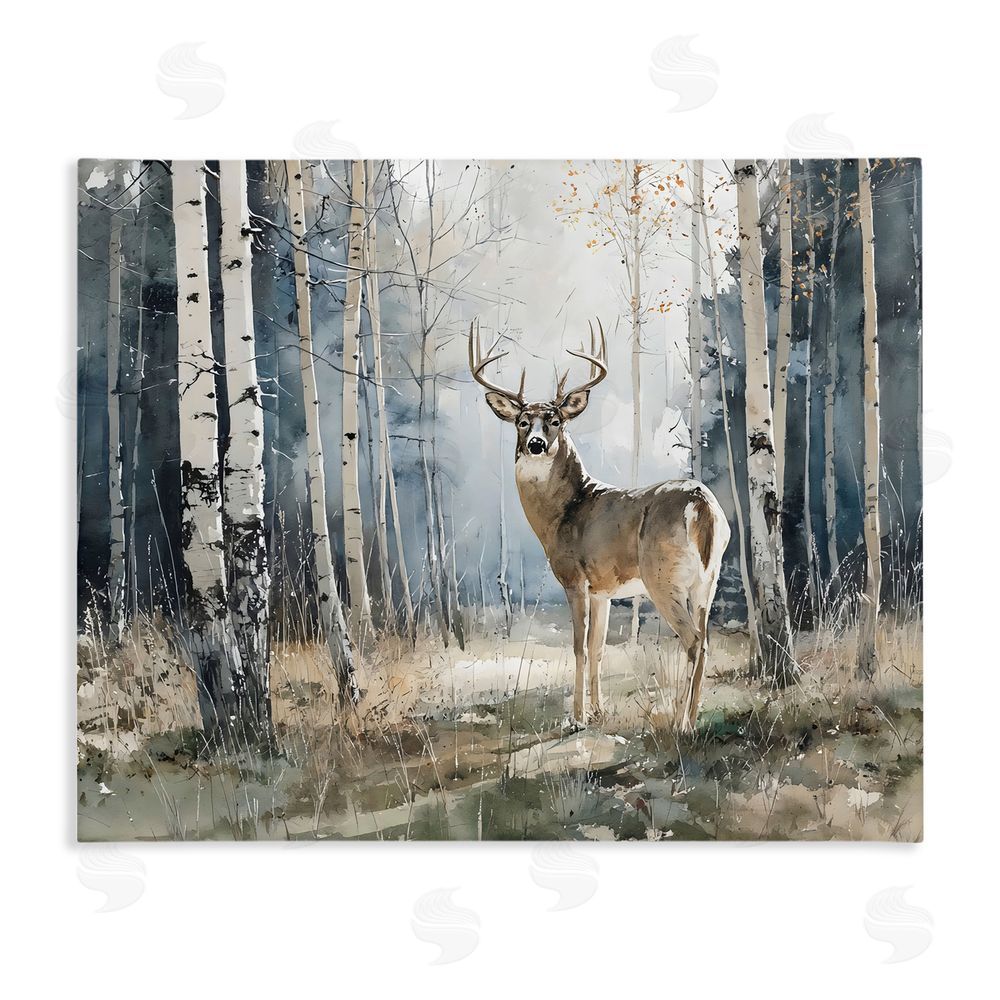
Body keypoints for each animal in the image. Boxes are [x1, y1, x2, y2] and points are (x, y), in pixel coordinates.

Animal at [469, 319, 730, 732]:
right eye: (522, 422)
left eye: (555, 421)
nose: (537, 444)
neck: (564, 512)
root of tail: (701, 503)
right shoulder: (603, 590)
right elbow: (598, 647)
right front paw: (598, 711)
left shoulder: (575, 578)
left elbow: (577, 646)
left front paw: (575, 718)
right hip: (709, 578)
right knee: (705, 639)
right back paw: (692, 718)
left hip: (662, 576)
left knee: (691, 639)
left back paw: (679, 723)